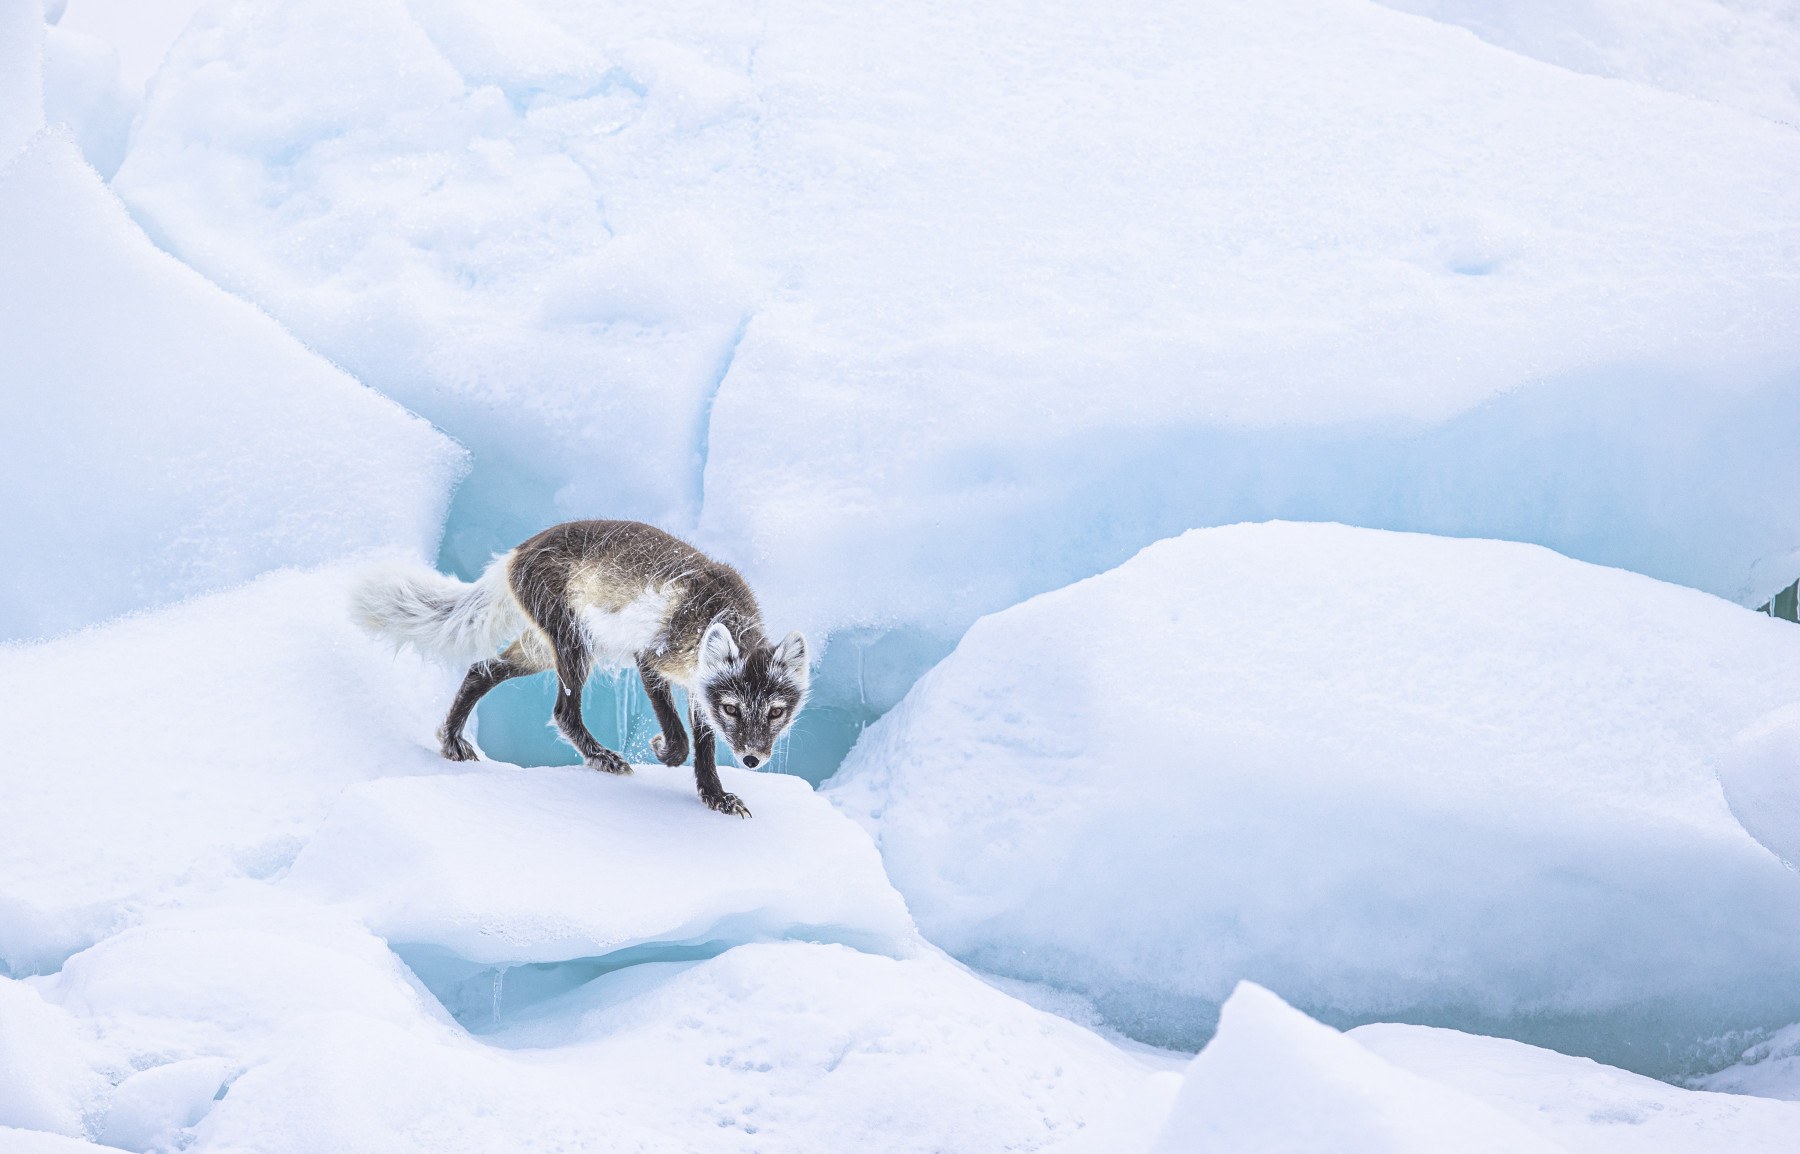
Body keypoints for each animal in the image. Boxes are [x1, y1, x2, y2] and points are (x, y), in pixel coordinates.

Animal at [351, 520, 808, 818]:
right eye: (732, 708)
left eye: (775, 712)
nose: (752, 758)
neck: (716, 611)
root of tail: (516, 553)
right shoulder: (651, 660)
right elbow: (680, 741)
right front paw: (661, 747)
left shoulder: (697, 686)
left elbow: (705, 748)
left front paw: (716, 796)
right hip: (573, 645)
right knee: (562, 711)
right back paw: (603, 757)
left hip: (540, 650)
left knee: (483, 669)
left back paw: (450, 741)